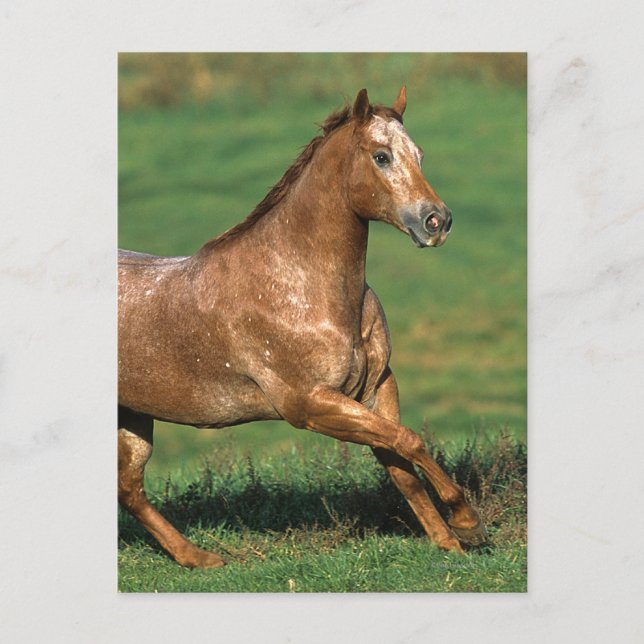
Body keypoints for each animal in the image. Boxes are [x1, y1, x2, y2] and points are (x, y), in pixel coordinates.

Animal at [118, 87, 487, 568]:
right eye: (381, 156)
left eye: (419, 154)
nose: (437, 222)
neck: (298, 284)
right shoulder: (310, 405)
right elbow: (410, 442)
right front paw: (468, 522)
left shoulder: (376, 387)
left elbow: (401, 462)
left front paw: (449, 543)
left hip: (133, 417)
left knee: (129, 488)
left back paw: (198, 558)